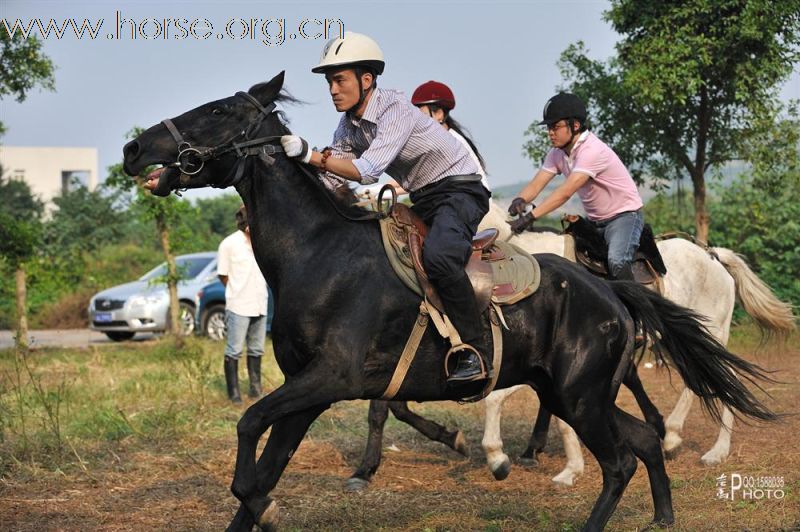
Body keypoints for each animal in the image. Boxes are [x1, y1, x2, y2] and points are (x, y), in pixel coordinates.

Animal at [478, 203, 796, 486]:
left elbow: (499, 398)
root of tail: (714, 256)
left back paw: (706, 447)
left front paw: (506, 457)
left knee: (716, 381)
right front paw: (554, 461)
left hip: (711, 332)